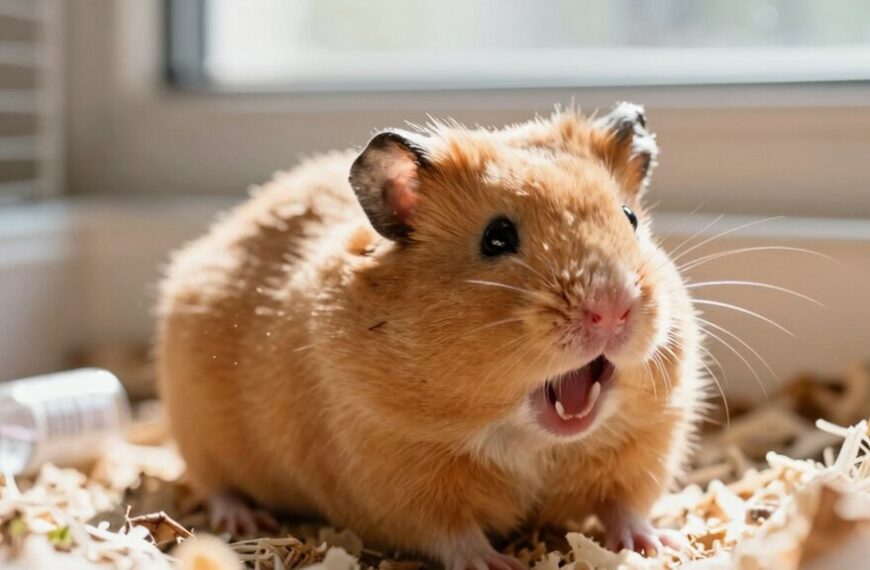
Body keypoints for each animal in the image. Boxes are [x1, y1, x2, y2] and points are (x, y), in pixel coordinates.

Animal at [156, 102, 705, 569]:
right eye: (497, 238)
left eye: (630, 220)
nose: (612, 310)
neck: (528, 439)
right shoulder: (393, 471)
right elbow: (451, 532)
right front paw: (496, 564)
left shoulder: (645, 441)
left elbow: (625, 505)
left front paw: (661, 545)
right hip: (198, 429)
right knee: (214, 483)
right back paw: (243, 519)